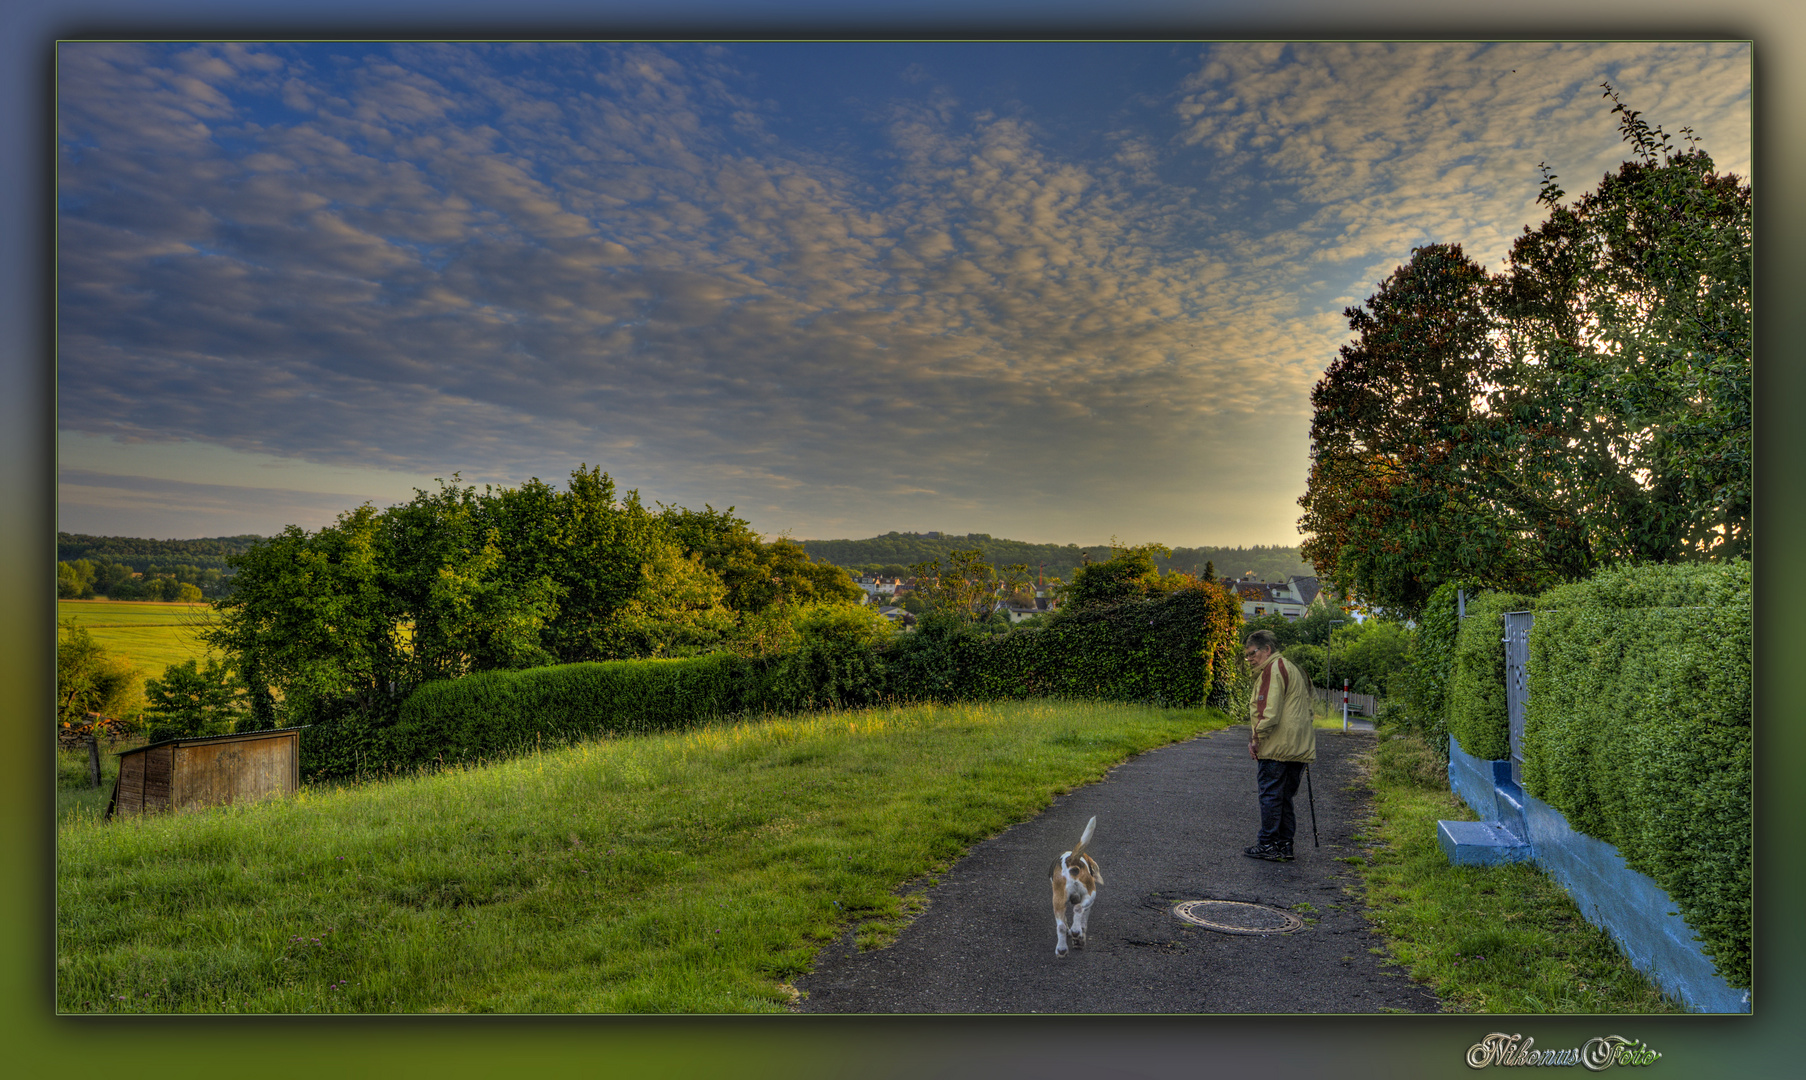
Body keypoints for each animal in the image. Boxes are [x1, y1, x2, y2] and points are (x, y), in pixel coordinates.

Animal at [1047, 816, 1098, 960]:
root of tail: (1071, 860)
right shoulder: (1088, 903)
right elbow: (1083, 922)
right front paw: (1080, 939)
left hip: (1058, 902)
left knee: (1061, 927)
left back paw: (1061, 949)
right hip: (1090, 894)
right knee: (1078, 909)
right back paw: (1075, 931)